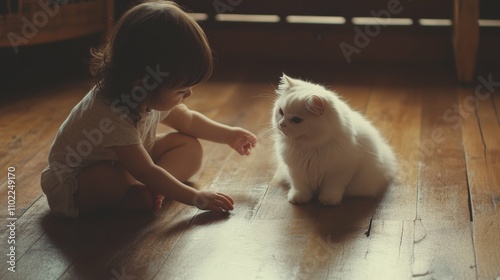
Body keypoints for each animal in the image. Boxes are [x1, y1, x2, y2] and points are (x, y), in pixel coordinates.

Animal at [272, 74, 396, 206]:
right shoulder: (295, 169)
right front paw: (298, 197)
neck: (310, 147)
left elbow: (332, 188)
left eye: (296, 120)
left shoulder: (340, 171)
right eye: (281, 112)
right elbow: (300, 186)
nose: (281, 124)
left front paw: (328, 200)